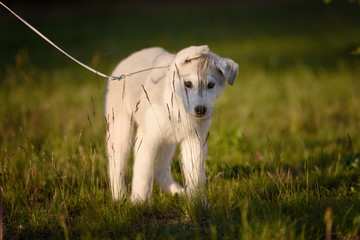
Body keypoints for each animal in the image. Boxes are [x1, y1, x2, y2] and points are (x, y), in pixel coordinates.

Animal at [104, 45, 239, 201]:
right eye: (188, 84)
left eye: (211, 85)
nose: (200, 110)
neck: (177, 108)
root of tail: (126, 60)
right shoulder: (147, 138)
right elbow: (143, 174)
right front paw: (139, 201)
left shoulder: (195, 140)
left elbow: (196, 177)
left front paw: (197, 202)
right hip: (121, 131)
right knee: (116, 166)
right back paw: (119, 197)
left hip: (168, 141)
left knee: (160, 170)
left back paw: (176, 191)